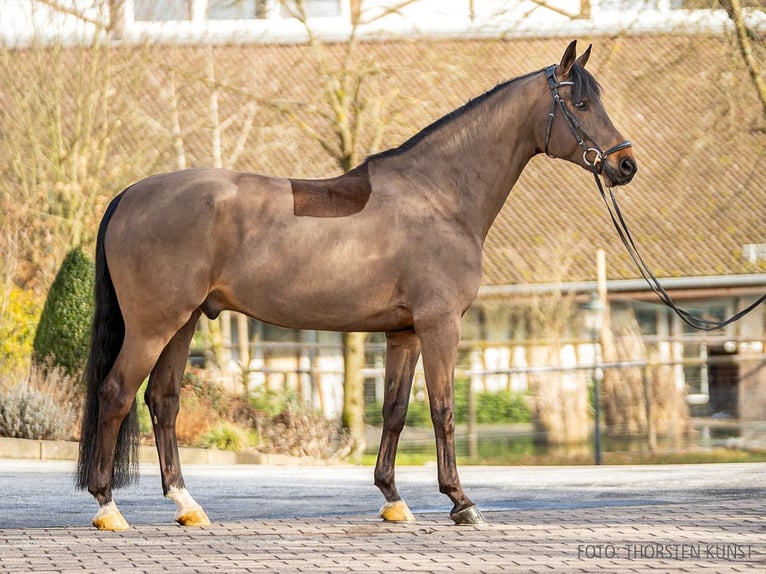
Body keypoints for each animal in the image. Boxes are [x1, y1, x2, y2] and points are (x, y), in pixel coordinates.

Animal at [76, 40, 637, 530]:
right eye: (581, 103)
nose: (625, 164)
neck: (438, 195)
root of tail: (129, 194)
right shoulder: (440, 326)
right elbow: (442, 409)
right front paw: (461, 502)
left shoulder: (403, 333)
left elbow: (393, 411)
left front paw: (392, 498)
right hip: (154, 326)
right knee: (116, 394)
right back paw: (108, 507)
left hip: (185, 322)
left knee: (163, 401)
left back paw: (187, 505)